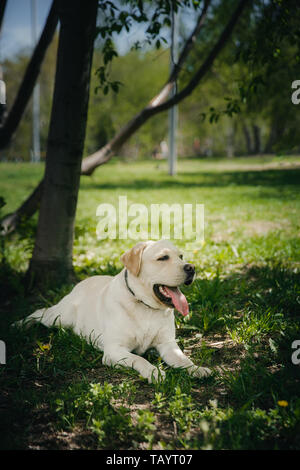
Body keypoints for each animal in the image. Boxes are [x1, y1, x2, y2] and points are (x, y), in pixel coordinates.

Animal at [21, 241, 211, 384]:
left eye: (181, 256)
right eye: (163, 258)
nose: (191, 268)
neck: (145, 306)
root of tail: (82, 282)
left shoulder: (167, 344)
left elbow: (183, 359)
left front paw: (196, 369)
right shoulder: (114, 350)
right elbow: (139, 359)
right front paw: (154, 371)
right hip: (59, 317)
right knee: (40, 312)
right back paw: (20, 325)